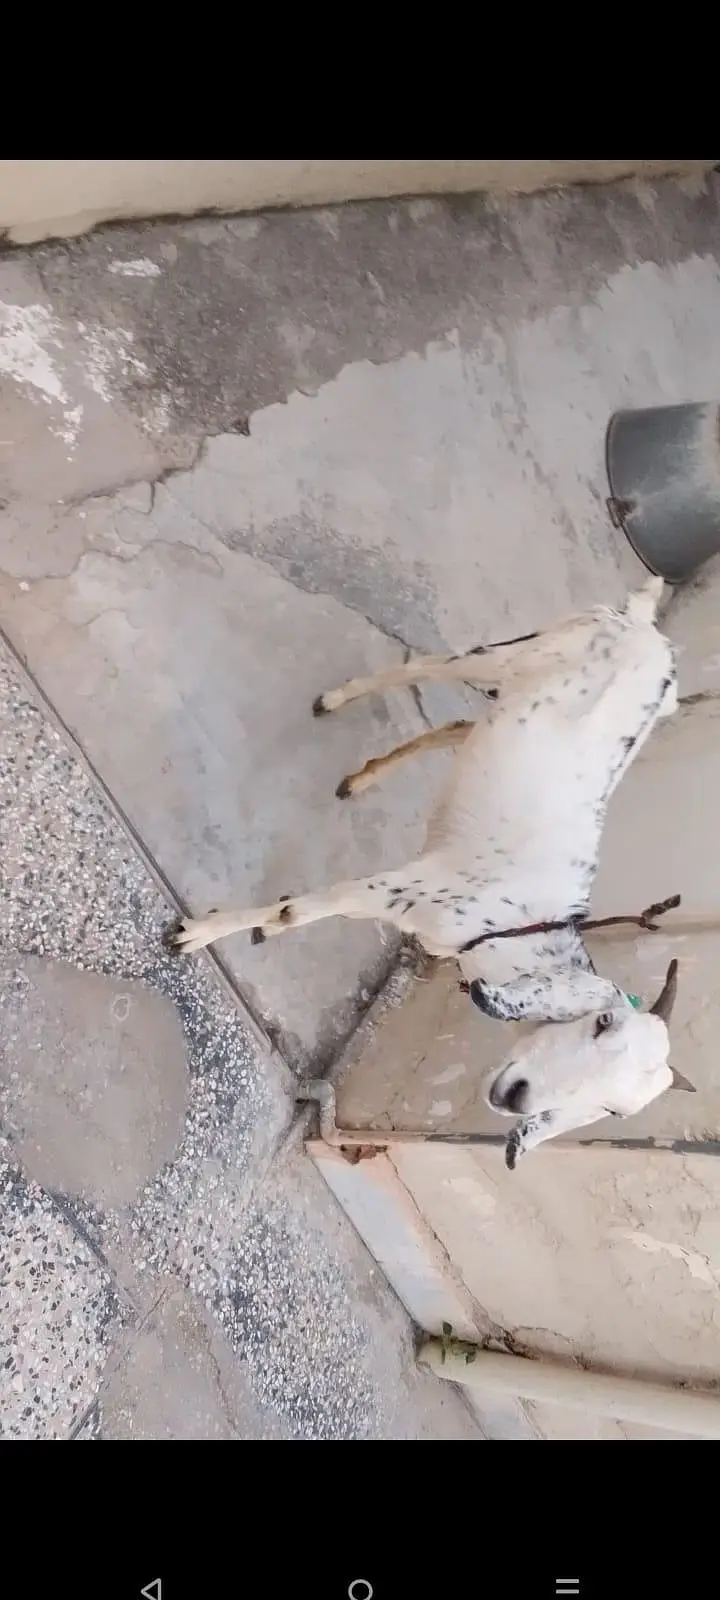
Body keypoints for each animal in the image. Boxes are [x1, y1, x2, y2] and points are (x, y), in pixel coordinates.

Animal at [169, 575, 694, 1165]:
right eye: (601, 1023)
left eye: (612, 1111)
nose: (517, 1095)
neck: (510, 928)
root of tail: (647, 625)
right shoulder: (405, 887)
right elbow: (299, 911)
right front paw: (198, 932)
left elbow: (293, 914)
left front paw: (238, 927)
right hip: (514, 654)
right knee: (425, 666)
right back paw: (336, 699)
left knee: (462, 725)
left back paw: (361, 779)